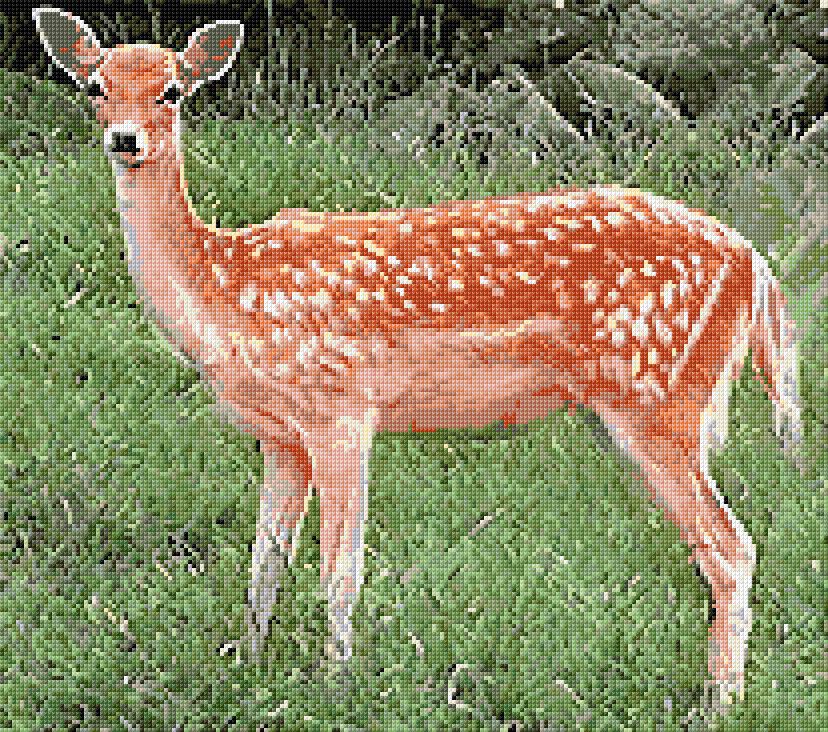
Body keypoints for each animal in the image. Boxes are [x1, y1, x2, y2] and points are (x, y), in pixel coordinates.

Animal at [33, 7, 803, 710]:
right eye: (95, 86)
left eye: (172, 90)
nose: (125, 139)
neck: (226, 291)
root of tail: (754, 263)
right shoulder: (280, 435)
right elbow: (264, 563)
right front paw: (246, 667)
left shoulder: (341, 405)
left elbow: (339, 567)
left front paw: (335, 687)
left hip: (659, 394)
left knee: (732, 548)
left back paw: (720, 702)